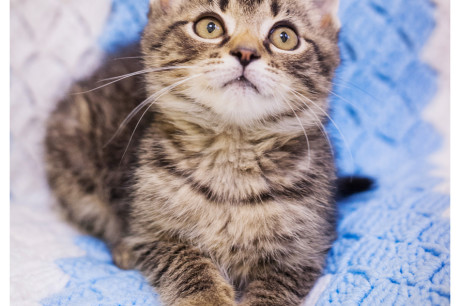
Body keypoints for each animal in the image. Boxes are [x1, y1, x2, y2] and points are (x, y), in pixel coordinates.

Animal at [45, 0, 344, 304]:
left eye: (284, 37)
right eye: (209, 27)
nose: (246, 52)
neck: (232, 158)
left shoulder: (306, 250)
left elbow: (276, 287)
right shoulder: (150, 232)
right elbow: (185, 262)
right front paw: (207, 297)